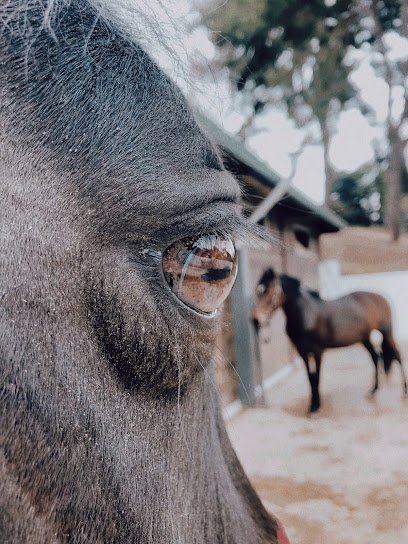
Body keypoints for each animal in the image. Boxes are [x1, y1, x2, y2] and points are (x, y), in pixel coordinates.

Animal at [253, 268, 406, 412]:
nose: (255, 319)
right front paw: (312, 405)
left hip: (387, 333)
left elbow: (317, 378)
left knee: (397, 356)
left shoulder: (318, 351)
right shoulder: (303, 352)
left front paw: (316, 406)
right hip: (365, 339)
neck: (306, 314)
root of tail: (382, 298)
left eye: (269, 291)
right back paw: (373, 390)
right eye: (258, 291)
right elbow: (310, 378)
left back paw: (404, 391)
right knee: (375, 357)